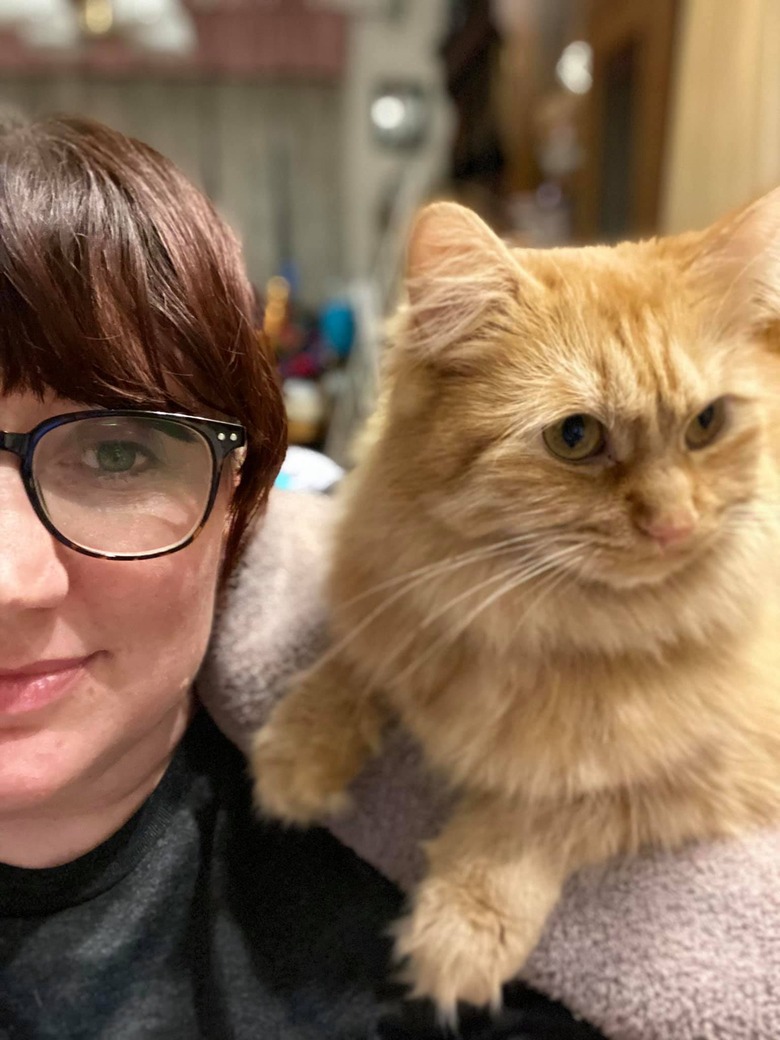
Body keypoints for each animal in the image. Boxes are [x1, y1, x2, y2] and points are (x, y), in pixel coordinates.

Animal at [251, 191, 780, 1010]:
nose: (674, 526)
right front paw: (296, 754)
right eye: (575, 436)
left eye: (706, 424)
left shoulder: (710, 773)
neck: (536, 624)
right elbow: (356, 664)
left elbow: (539, 813)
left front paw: (463, 927)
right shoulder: (399, 599)